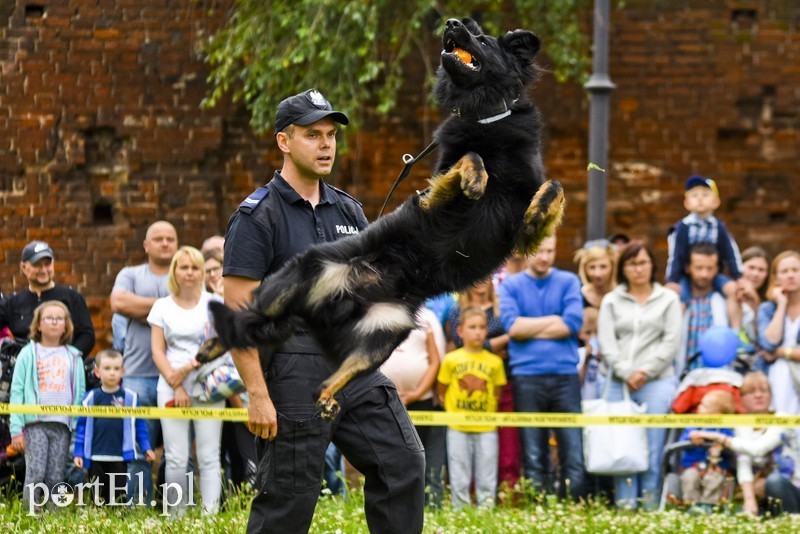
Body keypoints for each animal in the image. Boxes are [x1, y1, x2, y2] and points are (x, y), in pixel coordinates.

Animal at [198, 17, 564, 422]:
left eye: (481, 39)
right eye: (469, 30)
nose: (451, 23)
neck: (487, 118)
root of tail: (339, 301)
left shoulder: (520, 232)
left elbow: (553, 187)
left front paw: (536, 212)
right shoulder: (436, 192)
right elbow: (471, 158)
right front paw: (477, 179)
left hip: (385, 335)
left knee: (323, 380)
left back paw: (328, 398)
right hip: (306, 272)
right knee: (247, 317)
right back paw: (213, 345)